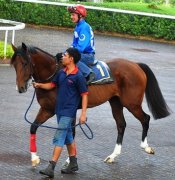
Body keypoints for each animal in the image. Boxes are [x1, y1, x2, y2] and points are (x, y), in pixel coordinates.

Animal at [10, 43, 170, 167]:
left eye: (25, 63)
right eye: (14, 65)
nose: (20, 88)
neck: (55, 75)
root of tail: (136, 65)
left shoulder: (67, 111)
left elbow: (70, 133)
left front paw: (69, 160)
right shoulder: (47, 109)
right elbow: (33, 127)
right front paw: (34, 158)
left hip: (132, 103)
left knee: (145, 119)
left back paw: (146, 147)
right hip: (116, 102)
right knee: (121, 124)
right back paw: (113, 155)